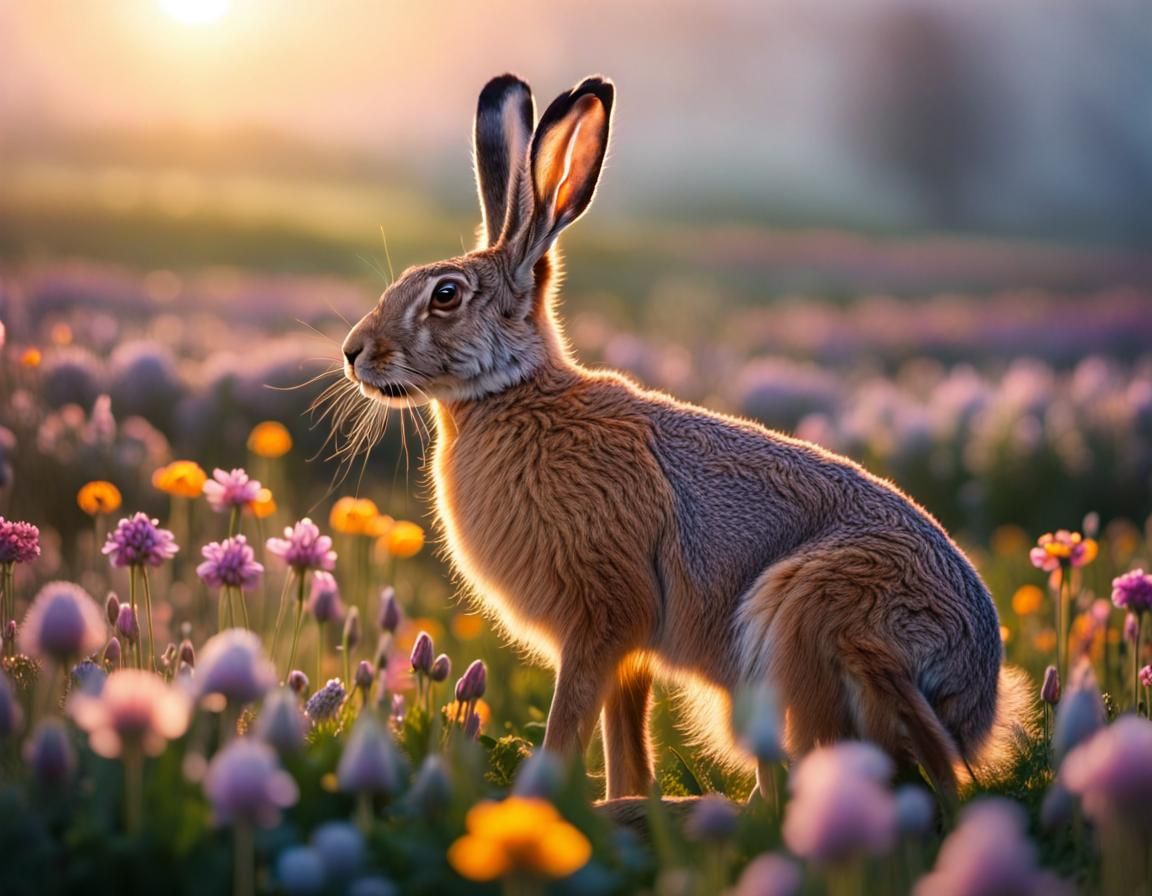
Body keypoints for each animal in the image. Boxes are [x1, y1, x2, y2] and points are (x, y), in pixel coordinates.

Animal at [340, 73, 1026, 800]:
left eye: (446, 295)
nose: (353, 353)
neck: (513, 392)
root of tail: (973, 698)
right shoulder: (624, 647)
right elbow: (622, 734)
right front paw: (620, 800)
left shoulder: (603, 612)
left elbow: (569, 720)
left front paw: (544, 800)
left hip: (806, 622)